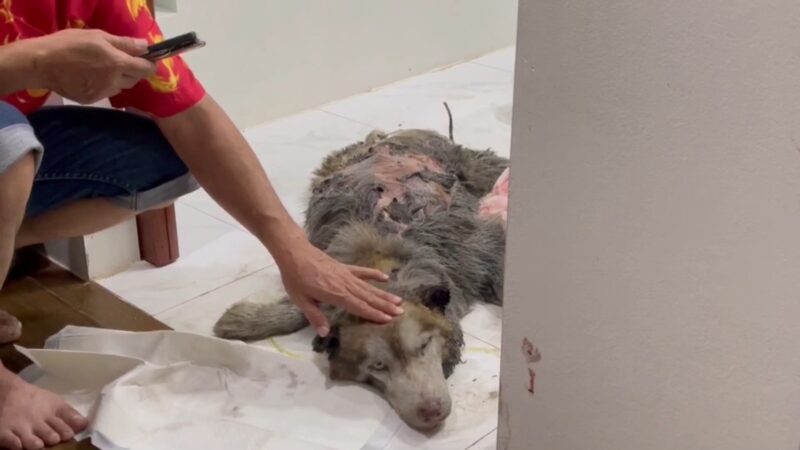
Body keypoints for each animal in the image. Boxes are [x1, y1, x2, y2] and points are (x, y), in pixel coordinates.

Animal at [213, 129, 508, 430]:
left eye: (424, 345)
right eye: (377, 367)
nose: (431, 411)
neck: (381, 259)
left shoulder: (476, 251)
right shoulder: (320, 266)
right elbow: (303, 303)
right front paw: (241, 321)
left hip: (469, 165)